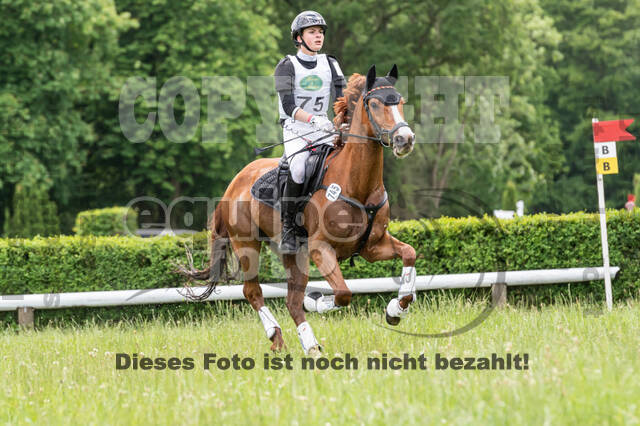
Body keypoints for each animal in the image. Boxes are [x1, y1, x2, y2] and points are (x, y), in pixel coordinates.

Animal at [178, 64, 417, 355]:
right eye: (374, 104)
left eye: (401, 102)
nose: (405, 139)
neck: (356, 184)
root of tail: (235, 183)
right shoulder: (320, 248)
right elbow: (343, 294)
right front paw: (315, 301)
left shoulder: (372, 246)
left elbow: (409, 254)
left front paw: (396, 310)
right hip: (248, 245)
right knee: (253, 292)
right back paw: (277, 337)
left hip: (294, 254)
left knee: (292, 301)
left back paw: (311, 345)